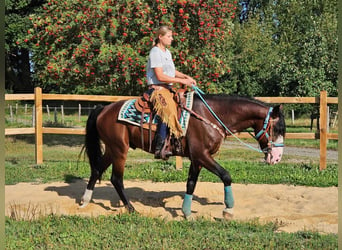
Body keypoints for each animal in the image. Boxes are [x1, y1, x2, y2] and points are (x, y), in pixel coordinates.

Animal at [81, 93, 286, 218]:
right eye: (276, 129)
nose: (277, 158)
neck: (210, 116)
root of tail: (103, 109)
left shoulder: (197, 159)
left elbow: (191, 184)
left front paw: (186, 212)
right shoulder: (202, 155)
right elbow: (226, 175)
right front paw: (228, 209)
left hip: (112, 149)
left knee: (97, 170)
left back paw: (84, 202)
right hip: (119, 150)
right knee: (116, 179)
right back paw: (131, 209)